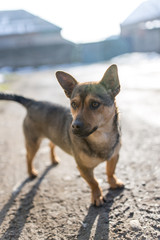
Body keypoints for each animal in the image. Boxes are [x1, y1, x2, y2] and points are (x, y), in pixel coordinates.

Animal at [0, 64, 124, 205]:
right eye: (73, 104)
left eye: (95, 104)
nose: (74, 126)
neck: (101, 136)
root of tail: (32, 102)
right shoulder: (83, 168)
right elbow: (94, 182)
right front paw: (97, 196)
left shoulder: (114, 156)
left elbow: (110, 171)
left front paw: (113, 183)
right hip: (33, 142)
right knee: (28, 157)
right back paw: (31, 172)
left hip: (52, 136)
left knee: (51, 145)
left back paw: (53, 159)